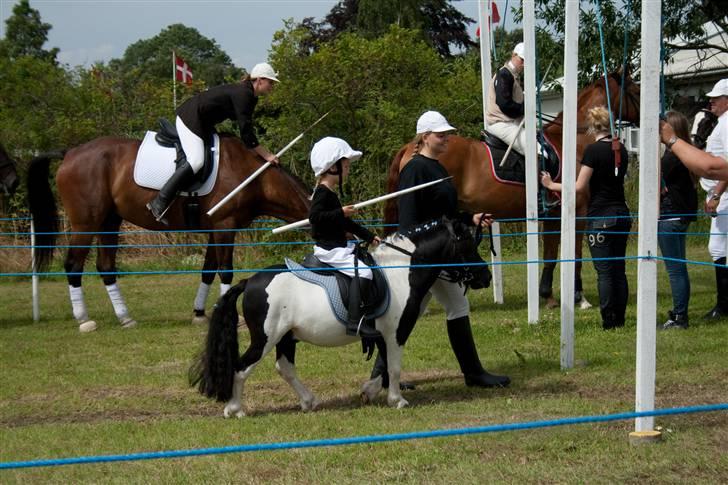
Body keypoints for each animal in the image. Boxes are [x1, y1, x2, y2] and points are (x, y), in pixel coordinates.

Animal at [27, 134, 310, 330]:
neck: (254, 177)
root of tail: (70, 152)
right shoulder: (224, 227)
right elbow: (225, 271)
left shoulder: (214, 230)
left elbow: (208, 271)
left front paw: (200, 314)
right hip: (86, 224)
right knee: (74, 265)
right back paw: (84, 320)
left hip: (109, 222)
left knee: (106, 267)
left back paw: (125, 317)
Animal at [191, 216, 492, 416]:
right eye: (467, 245)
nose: (486, 277)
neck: (400, 270)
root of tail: (249, 281)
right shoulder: (396, 332)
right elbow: (393, 366)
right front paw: (396, 400)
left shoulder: (382, 334)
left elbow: (384, 365)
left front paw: (369, 392)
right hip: (266, 337)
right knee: (242, 367)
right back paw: (235, 409)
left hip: (286, 337)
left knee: (284, 368)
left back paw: (309, 402)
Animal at [384, 72, 640, 306]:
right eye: (635, 90)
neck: (571, 143)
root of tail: (412, 146)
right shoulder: (577, 212)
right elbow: (575, 254)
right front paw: (579, 298)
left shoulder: (553, 215)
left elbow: (550, 255)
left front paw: (547, 296)